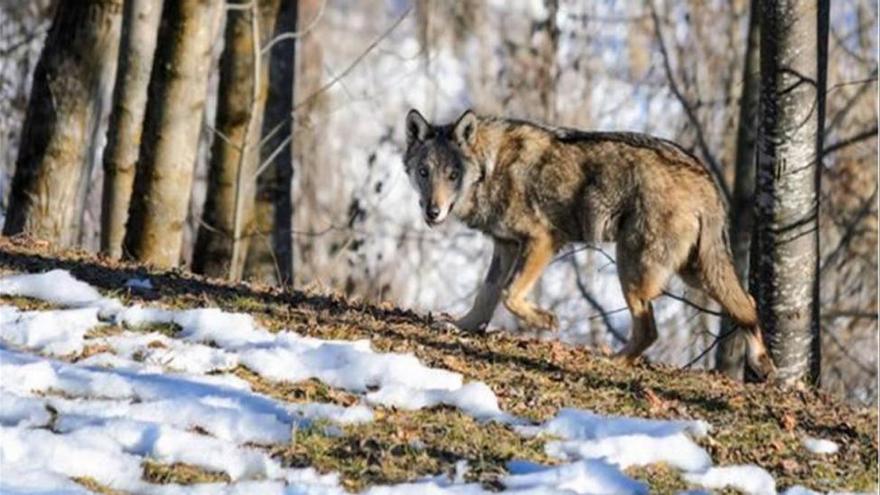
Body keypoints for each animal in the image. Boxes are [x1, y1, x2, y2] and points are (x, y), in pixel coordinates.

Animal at [400, 109, 776, 380]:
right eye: (424, 172)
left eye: (453, 175)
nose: (432, 212)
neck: (490, 168)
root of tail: (704, 176)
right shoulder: (505, 245)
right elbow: (487, 295)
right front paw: (462, 326)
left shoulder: (542, 240)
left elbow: (509, 294)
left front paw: (545, 321)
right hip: (694, 273)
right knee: (748, 303)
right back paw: (761, 362)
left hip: (634, 271)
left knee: (650, 331)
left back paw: (612, 362)